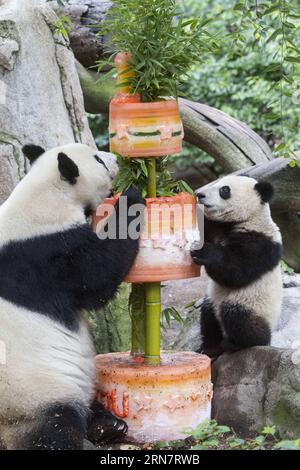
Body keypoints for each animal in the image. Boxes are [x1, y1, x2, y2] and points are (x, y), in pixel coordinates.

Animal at [0, 142, 145, 448]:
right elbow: (98, 274)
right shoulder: (45, 255)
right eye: (99, 160)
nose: (117, 159)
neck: (45, 193)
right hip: (30, 395)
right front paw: (132, 195)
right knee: (53, 426)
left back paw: (108, 425)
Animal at [191, 175, 282, 356]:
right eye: (216, 183)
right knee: (208, 317)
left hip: (254, 304)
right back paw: (209, 347)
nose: (200, 195)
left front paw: (202, 251)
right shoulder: (217, 228)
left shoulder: (261, 243)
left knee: (238, 316)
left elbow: (236, 272)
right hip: (212, 300)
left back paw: (237, 344)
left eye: (224, 190)